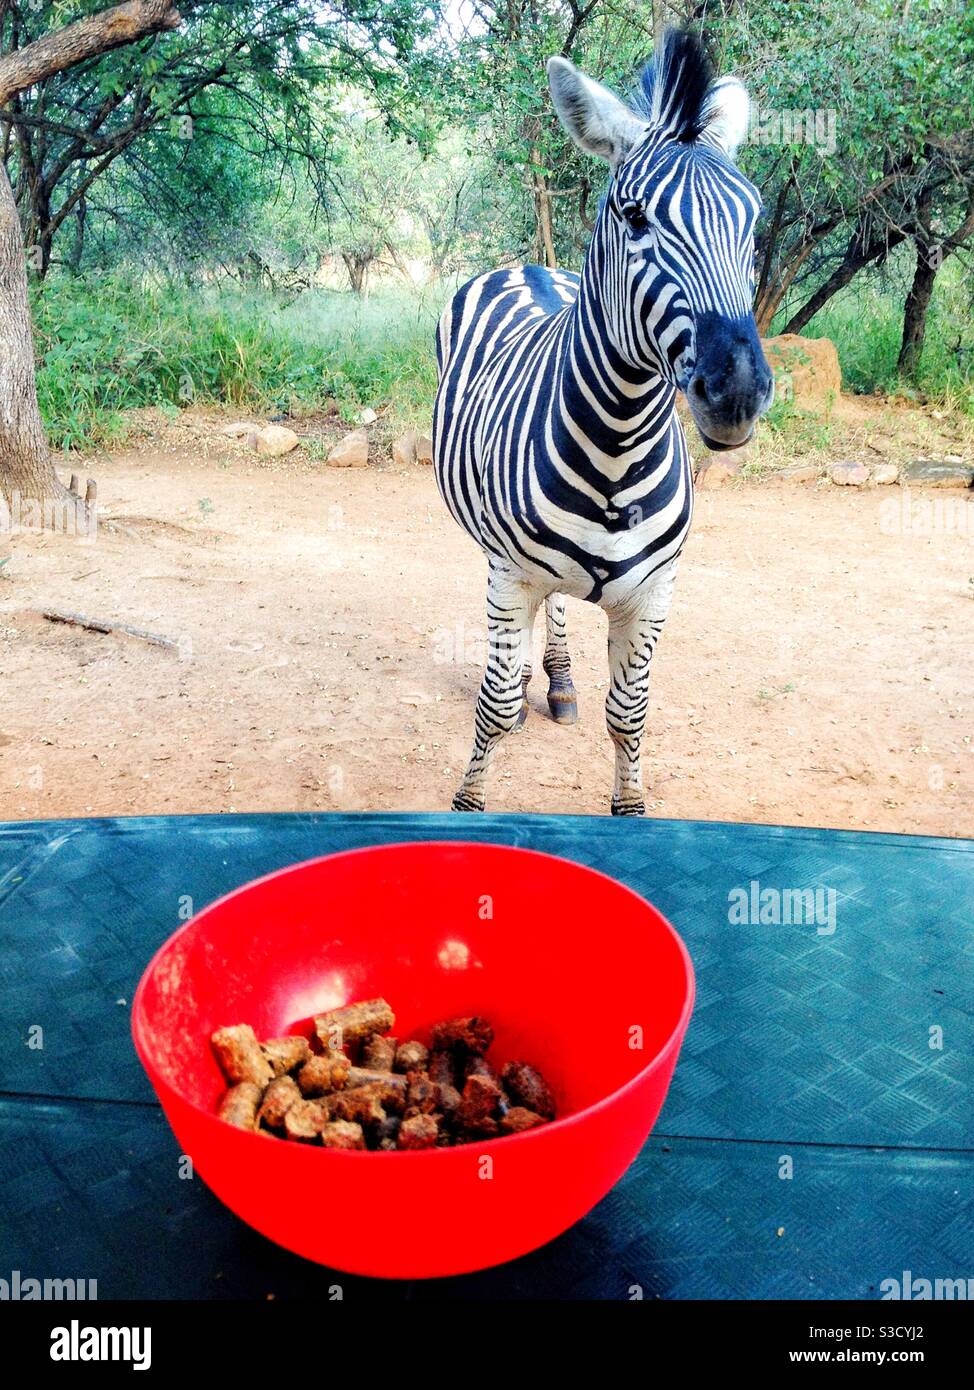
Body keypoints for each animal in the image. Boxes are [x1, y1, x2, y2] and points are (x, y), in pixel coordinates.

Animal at [436, 29, 772, 811]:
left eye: (754, 220)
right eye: (635, 216)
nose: (736, 392)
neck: (617, 449)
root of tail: (527, 265)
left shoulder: (654, 593)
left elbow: (631, 713)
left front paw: (630, 808)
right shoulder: (510, 573)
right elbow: (494, 703)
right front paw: (468, 805)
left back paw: (557, 681)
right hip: (495, 550)